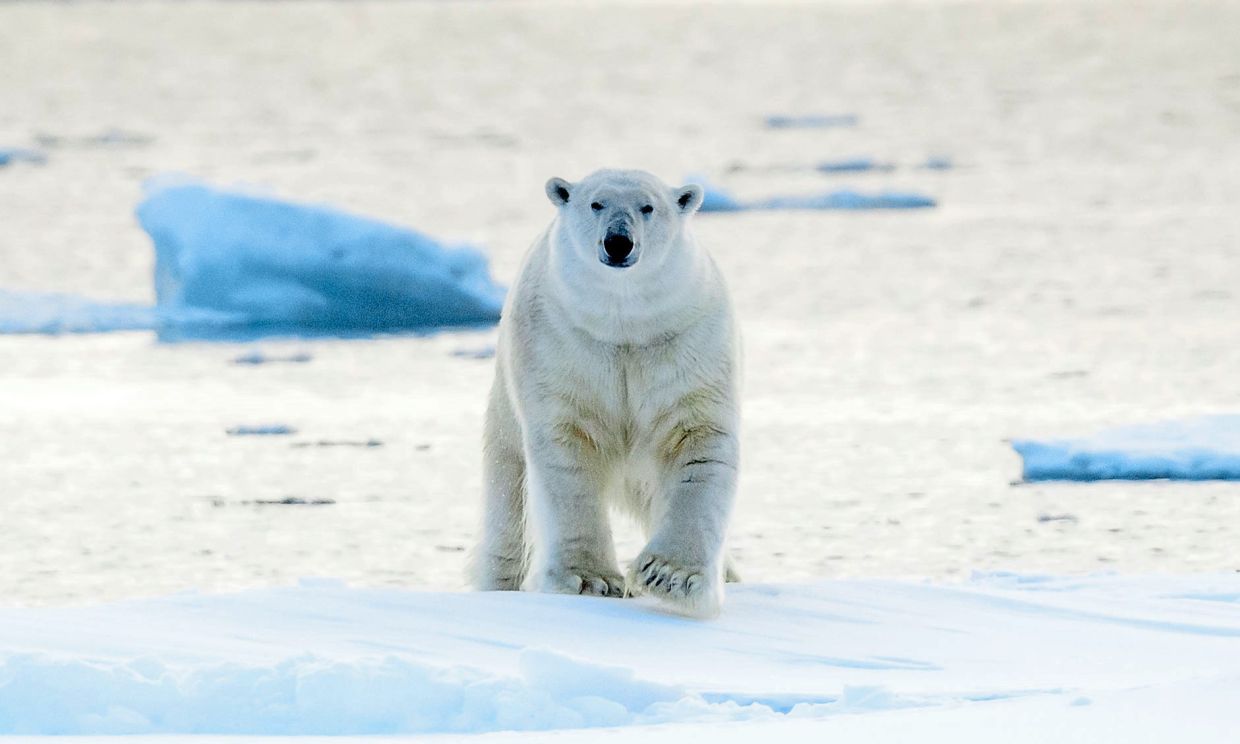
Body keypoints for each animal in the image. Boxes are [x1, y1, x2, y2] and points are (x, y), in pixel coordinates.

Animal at [471, 169, 740, 617]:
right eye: (596, 203)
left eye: (648, 207)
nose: (618, 242)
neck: (624, 324)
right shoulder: (559, 345)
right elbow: (567, 452)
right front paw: (588, 580)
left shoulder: (687, 342)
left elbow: (698, 443)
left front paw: (669, 577)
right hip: (504, 412)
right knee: (508, 499)